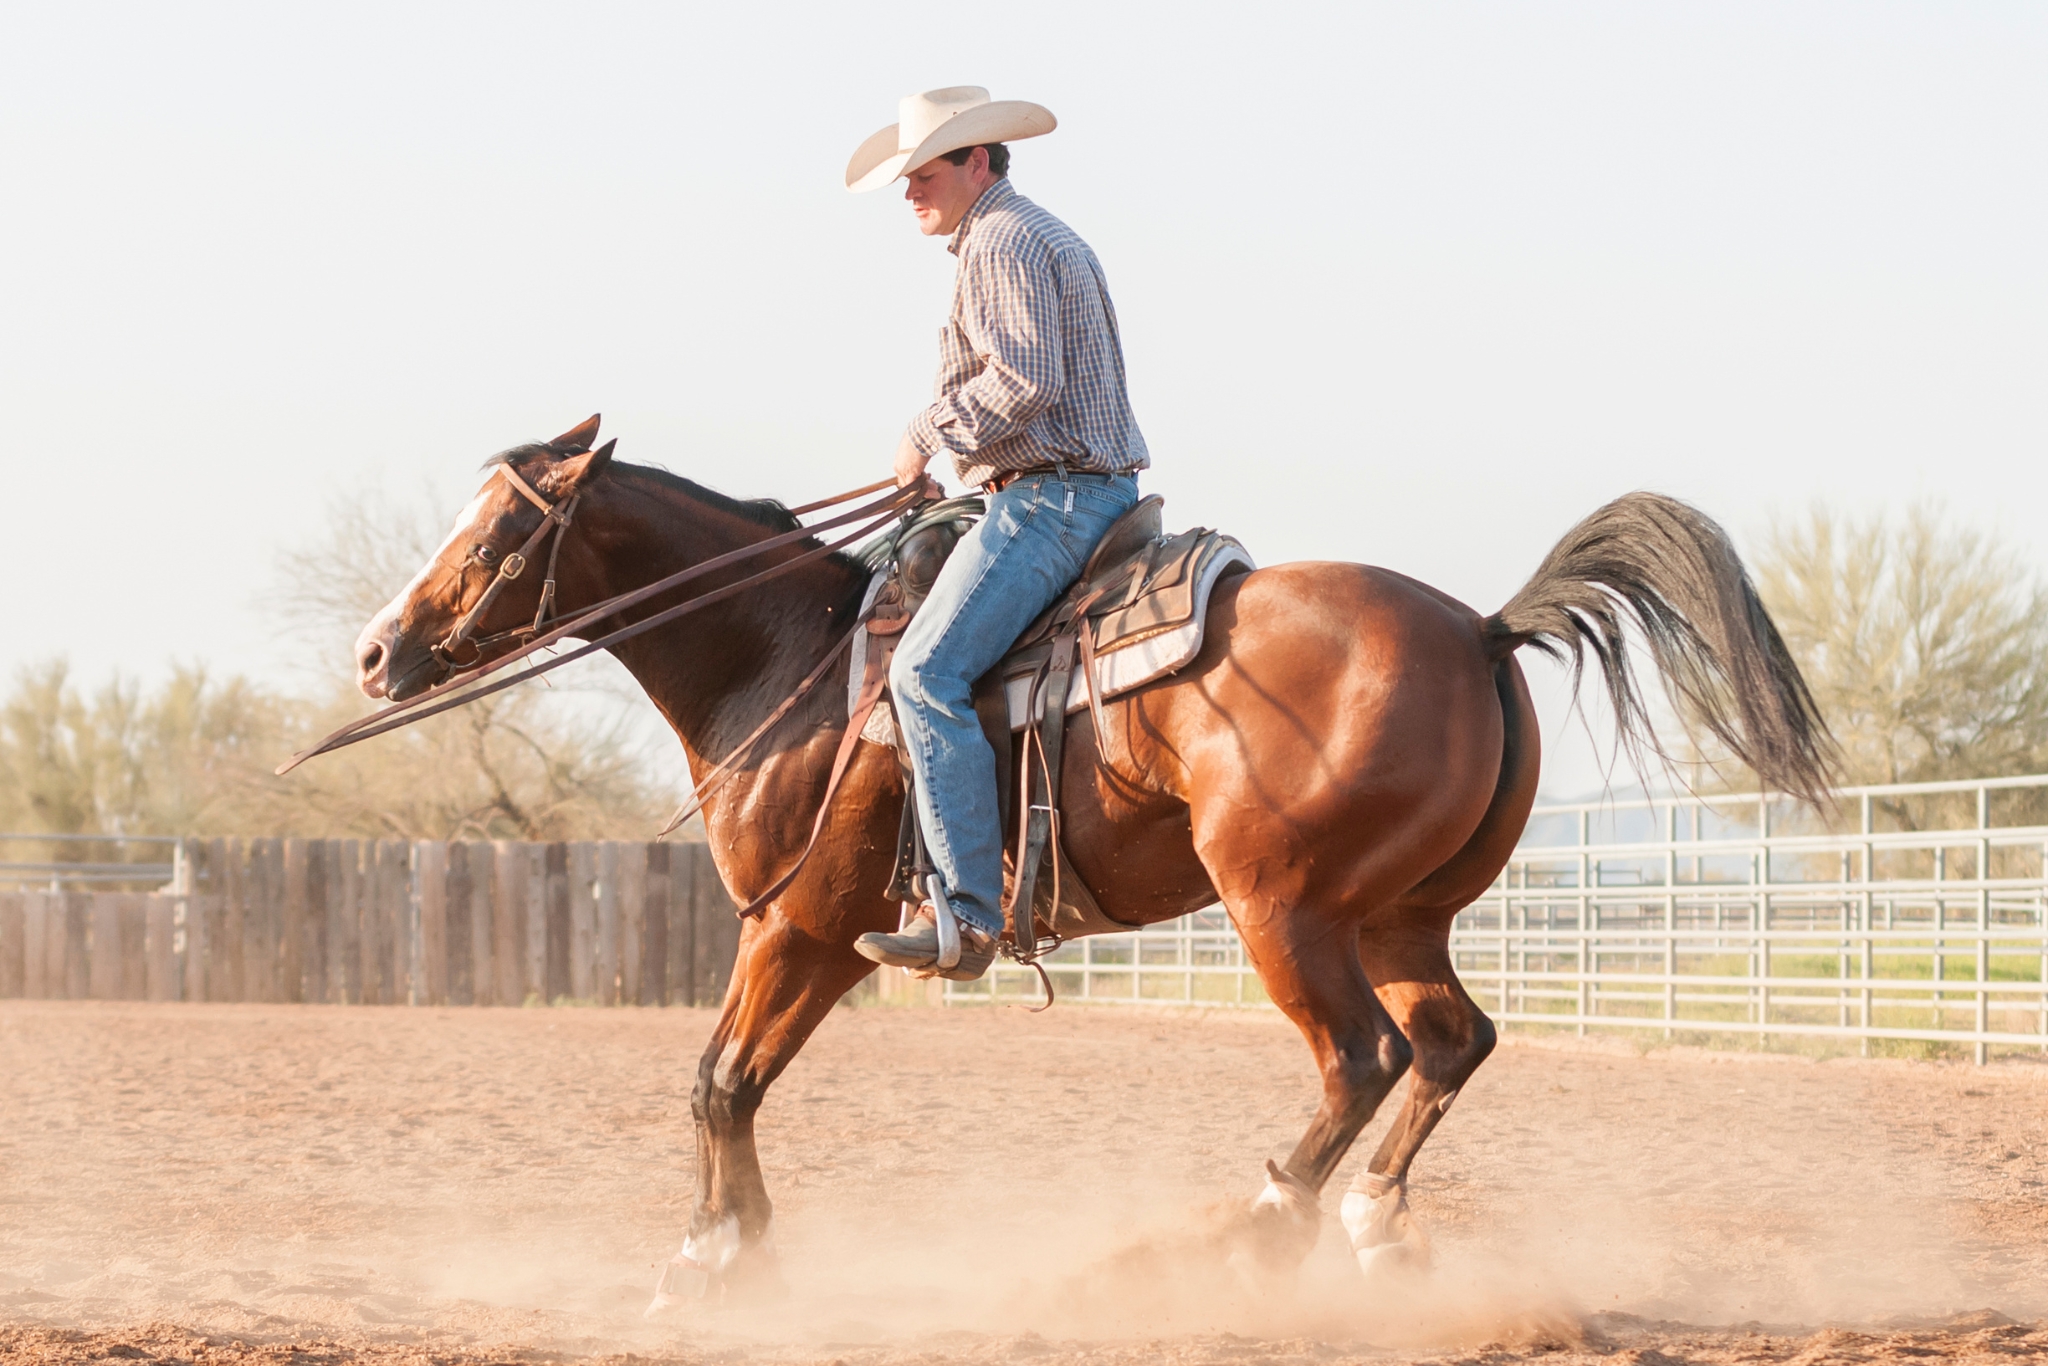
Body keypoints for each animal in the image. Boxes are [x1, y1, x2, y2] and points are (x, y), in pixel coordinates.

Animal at [350, 417, 1835, 1303]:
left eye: (491, 535)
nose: (376, 651)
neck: (791, 658)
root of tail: (1476, 628)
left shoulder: (802, 926)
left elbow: (718, 1079)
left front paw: (712, 1254)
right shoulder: (813, 935)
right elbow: (729, 1081)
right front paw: (729, 1245)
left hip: (1282, 907)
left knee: (1359, 1056)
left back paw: (1252, 1227)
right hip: (1401, 916)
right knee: (1450, 1042)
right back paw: (1373, 1224)